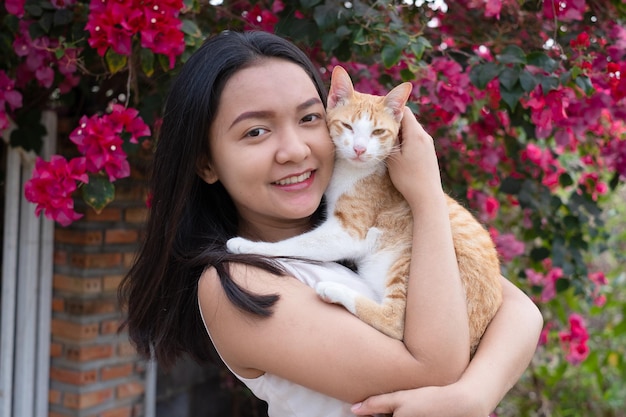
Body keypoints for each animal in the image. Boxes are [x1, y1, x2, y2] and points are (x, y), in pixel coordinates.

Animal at [227, 65, 500, 354]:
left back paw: (334, 290)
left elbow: (295, 243)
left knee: (395, 322)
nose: (359, 149)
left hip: (406, 261)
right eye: (347, 126)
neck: (352, 170)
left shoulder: (347, 232)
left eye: (378, 132)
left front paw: (246, 245)